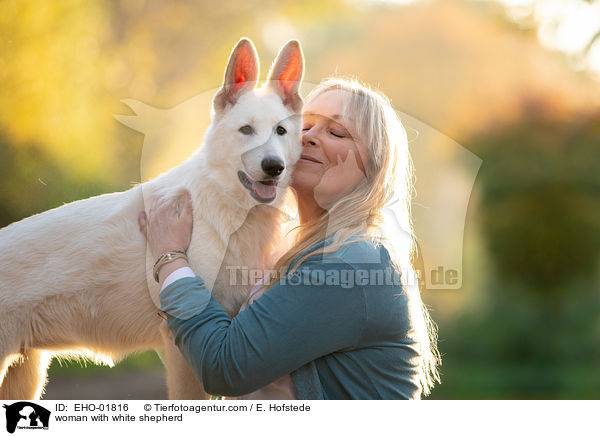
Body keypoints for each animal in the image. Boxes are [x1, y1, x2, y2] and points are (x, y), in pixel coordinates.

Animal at [0, 39, 304, 400]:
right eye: (246, 130)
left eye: (281, 131)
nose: (274, 166)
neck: (230, 212)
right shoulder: (182, 344)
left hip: (25, 378)